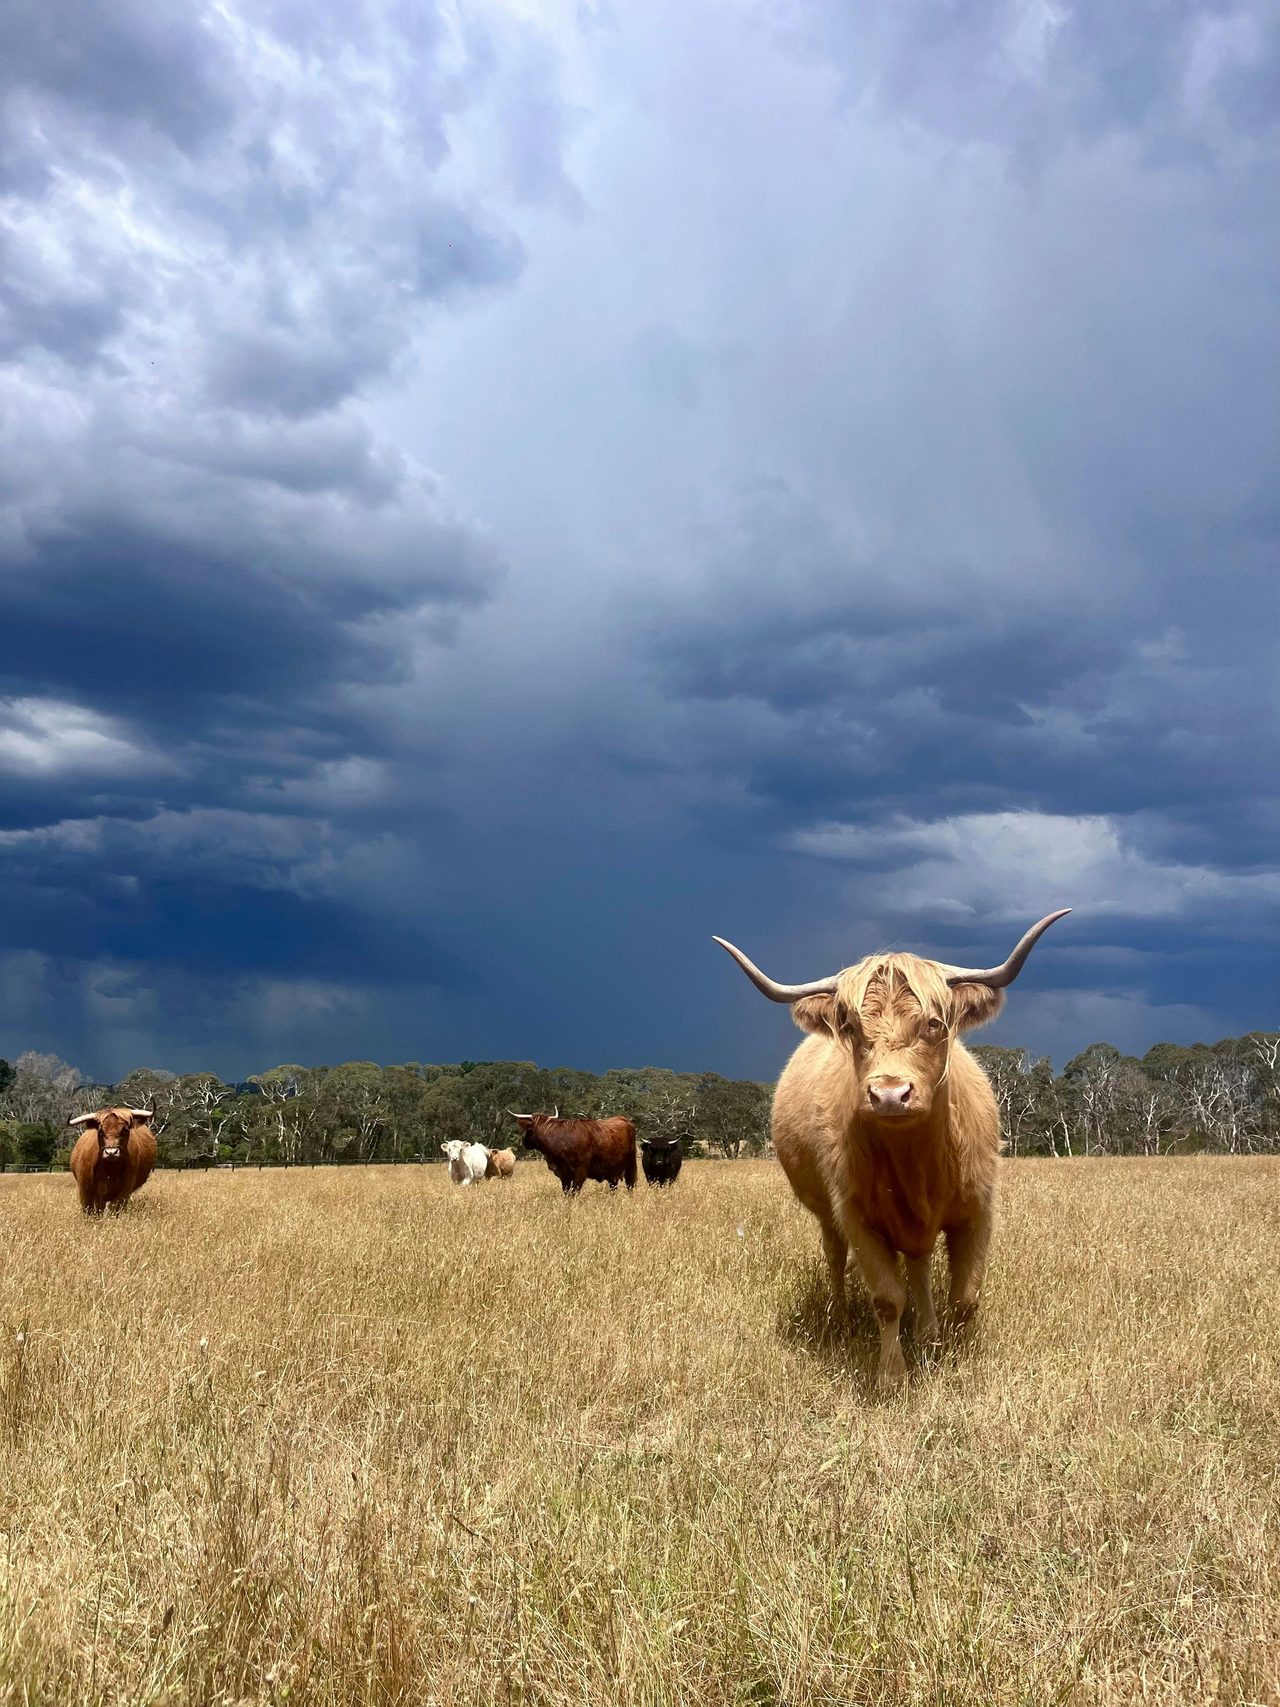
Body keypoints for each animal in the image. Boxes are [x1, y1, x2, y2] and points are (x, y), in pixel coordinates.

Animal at [507, 1107, 638, 1194]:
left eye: (528, 1130)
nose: (523, 1141)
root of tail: (623, 1119)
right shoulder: (564, 1174)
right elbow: (566, 1191)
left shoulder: (580, 1171)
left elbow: (574, 1191)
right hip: (612, 1170)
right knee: (613, 1186)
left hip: (630, 1164)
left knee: (630, 1184)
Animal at [715, 910, 1069, 1391]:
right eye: (850, 1027)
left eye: (934, 1023)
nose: (888, 1094)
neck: (917, 1162)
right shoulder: (858, 1217)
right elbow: (886, 1297)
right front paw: (891, 1374)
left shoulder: (977, 1210)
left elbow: (965, 1297)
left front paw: (958, 1361)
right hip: (827, 1213)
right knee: (835, 1255)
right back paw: (842, 1319)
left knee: (918, 1265)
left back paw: (927, 1332)